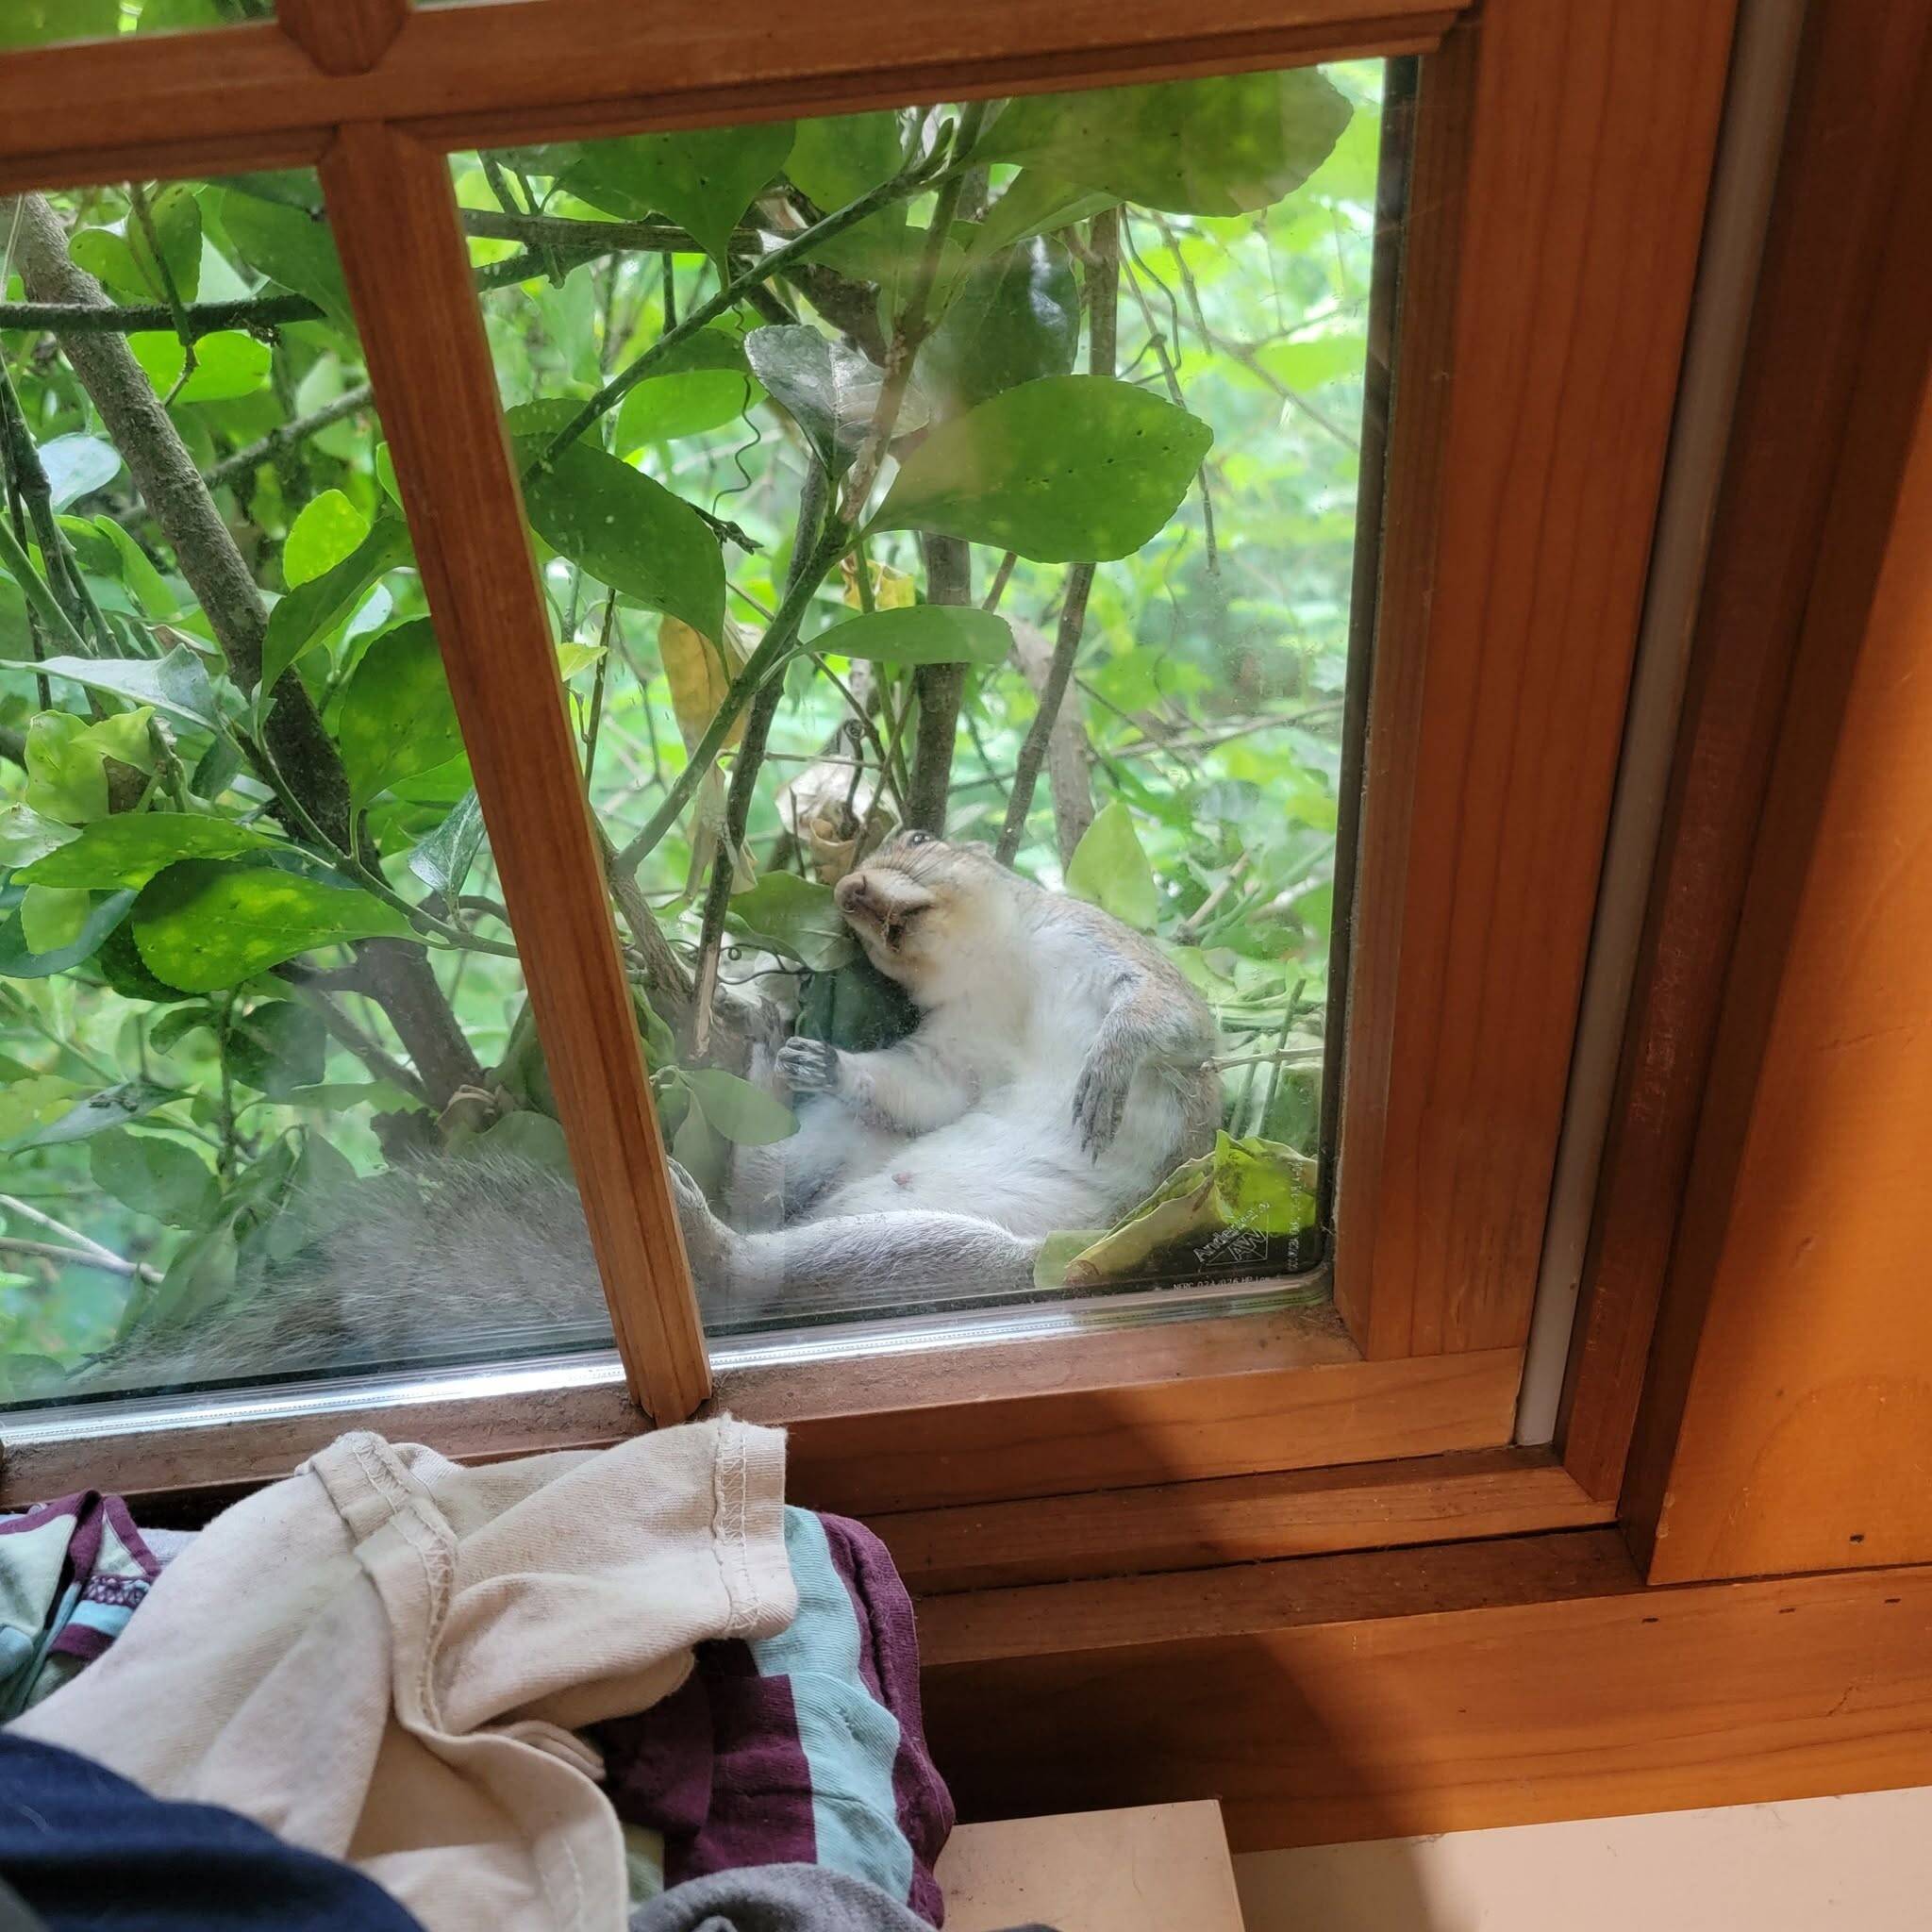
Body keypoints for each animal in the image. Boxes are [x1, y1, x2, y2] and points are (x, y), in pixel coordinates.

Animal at [71, 832, 1219, 1396]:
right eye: (860, 913)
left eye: (922, 844)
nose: (851, 890)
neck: (1001, 978)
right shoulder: (952, 1048)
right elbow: (919, 1086)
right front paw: (828, 1058)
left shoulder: (1104, 951)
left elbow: (1173, 1014)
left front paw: (1115, 1057)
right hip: (850, 1186)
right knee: (764, 1238)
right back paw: (755, 1115)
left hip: (989, 1263)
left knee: (765, 1273)